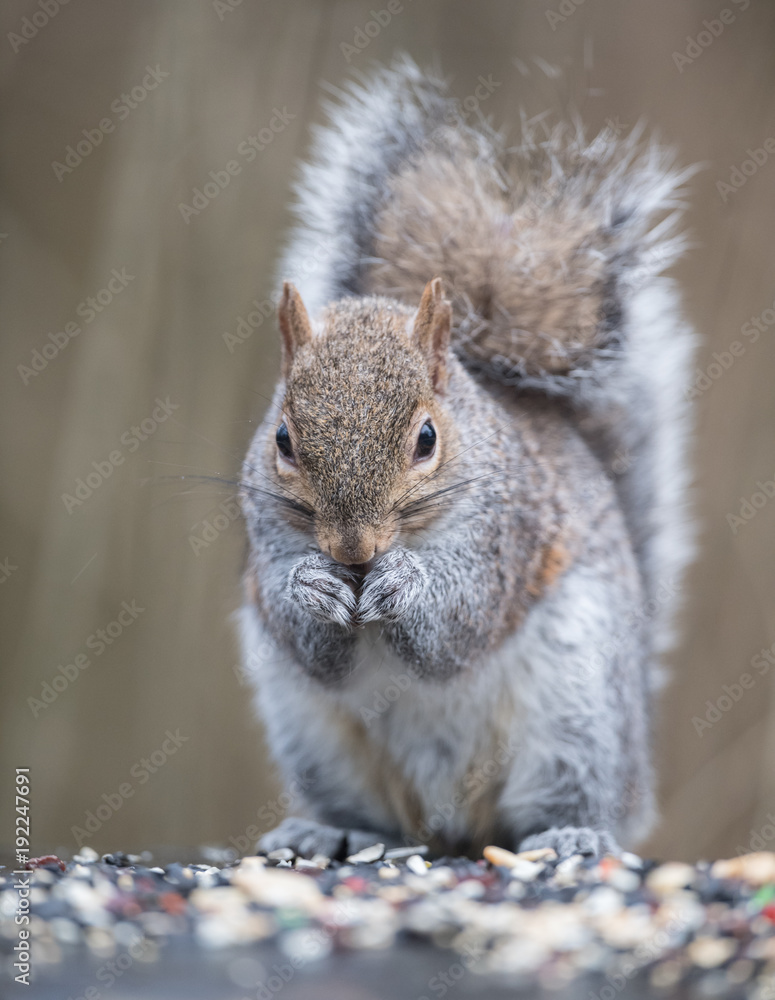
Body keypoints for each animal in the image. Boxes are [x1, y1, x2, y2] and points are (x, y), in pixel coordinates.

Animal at [237, 57, 697, 860]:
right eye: (283, 441)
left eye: (426, 438)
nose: (353, 551)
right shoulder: (263, 526)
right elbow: (306, 637)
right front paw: (311, 587)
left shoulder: (507, 532)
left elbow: (460, 623)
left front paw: (407, 583)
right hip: (312, 735)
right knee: (368, 812)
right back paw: (327, 830)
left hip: (578, 720)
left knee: (576, 803)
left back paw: (574, 835)